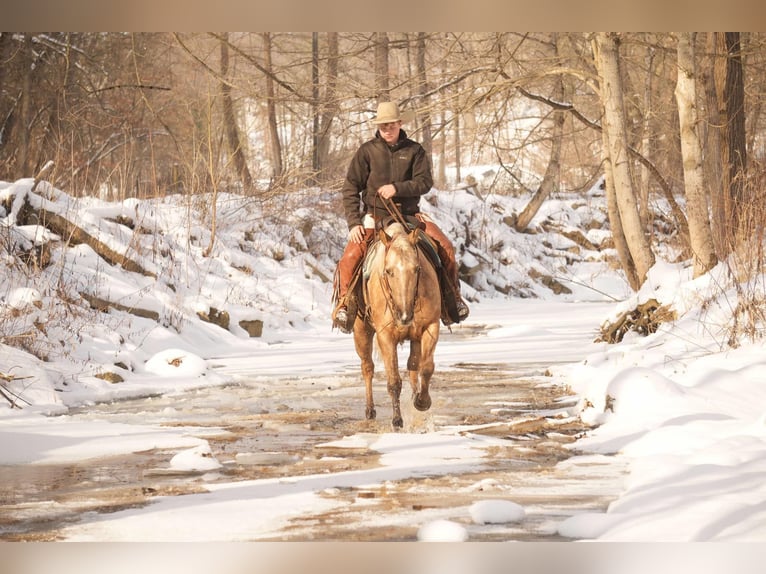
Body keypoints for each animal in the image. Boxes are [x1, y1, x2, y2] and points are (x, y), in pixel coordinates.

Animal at [354, 223, 444, 430]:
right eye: (388, 271)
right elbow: (394, 381)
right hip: (361, 332)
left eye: (417, 269)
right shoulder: (385, 336)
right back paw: (370, 411)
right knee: (367, 367)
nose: (405, 316)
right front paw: (397, 420)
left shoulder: (430, 327)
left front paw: (422, 402)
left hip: (415, 338)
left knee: (413, 366)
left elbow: (426, 368)